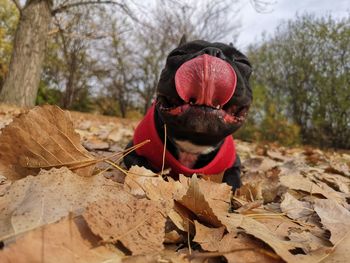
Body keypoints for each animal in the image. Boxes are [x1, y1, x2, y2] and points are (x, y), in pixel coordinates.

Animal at [124, 37, 253, 190]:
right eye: (177, 54)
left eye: (243, 62)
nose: (212, 51)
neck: (192, 145)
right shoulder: (132, 151)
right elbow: (144, 167)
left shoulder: (233, 165)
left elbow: (232, 181)